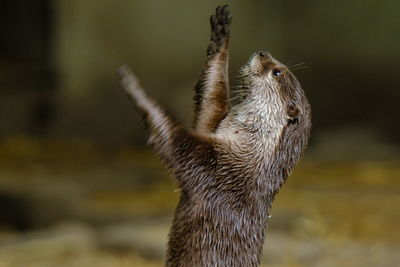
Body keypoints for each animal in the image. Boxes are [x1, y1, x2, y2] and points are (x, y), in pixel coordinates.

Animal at [117, 4, 310, 267]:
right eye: (274, 64)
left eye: (277, 72)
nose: (263, 52)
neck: (253, 155)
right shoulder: (213, 129)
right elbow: (211, 97)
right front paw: (221, 32)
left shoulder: (215, 166)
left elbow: (173, 137)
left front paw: (135, 88)